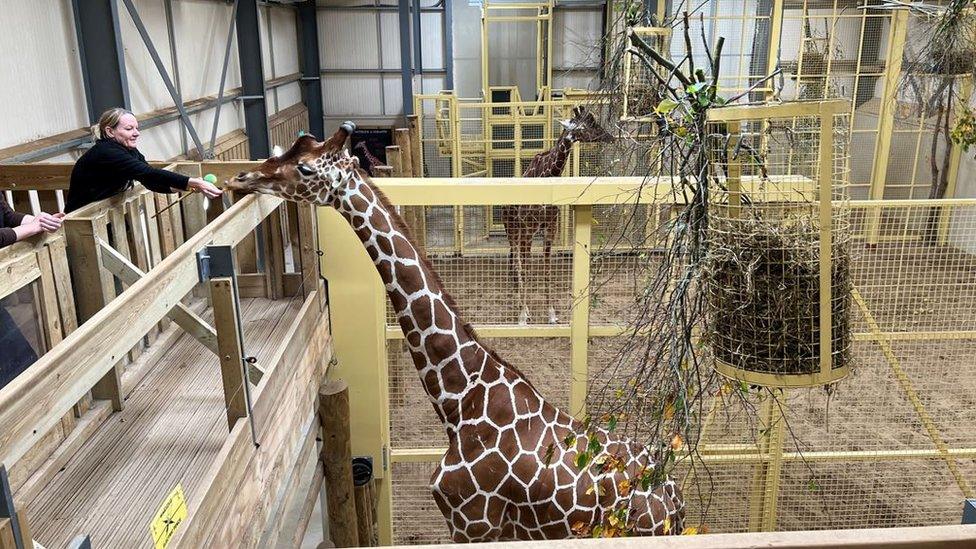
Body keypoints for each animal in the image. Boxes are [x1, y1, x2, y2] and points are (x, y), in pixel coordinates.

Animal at [504, 105, 608, 324]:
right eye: (586, 126)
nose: (609, 136)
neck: (548, 175)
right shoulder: (529, 230)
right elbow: (526, 270)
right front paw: (522, 316)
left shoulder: (550, 229)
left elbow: (547, 271)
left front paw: (551, 314)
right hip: (512, 230)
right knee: (516, 263)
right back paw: (519, 305)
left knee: (514, 262)